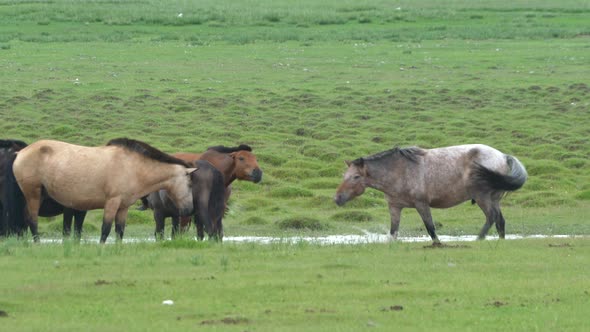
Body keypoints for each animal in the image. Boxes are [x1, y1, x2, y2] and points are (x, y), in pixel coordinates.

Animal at [12, 139, 197, 243]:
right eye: (189, 184)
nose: (189, 210)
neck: (133, 167)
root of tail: (21, 152)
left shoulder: (123, 207)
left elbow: (120, 231)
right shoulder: (112, 202)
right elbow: (105, 228)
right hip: (33, 195)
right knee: (32, 220)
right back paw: (36, 243)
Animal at [336, 144, 528, 243]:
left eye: (356, 176)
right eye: (344, 175)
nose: (337, 198)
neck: (399, 171)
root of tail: (503, 156)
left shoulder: (421, 204)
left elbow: (430, 228)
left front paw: (438, 244)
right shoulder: (395, 207)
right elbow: (393, 231)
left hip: (483, 197)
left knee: (491, 217)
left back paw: (478, 239)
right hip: (493, 199)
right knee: (500, 221)